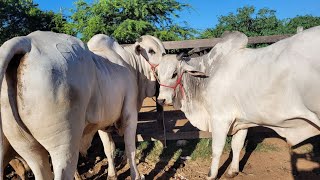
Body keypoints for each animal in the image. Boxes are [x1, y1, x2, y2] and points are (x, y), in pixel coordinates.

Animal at [0, 31, 165, 180]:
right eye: (151, 51)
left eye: (164, 51)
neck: (131, 64)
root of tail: (27, 42)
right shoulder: (130, 112)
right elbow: (130, 147)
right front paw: (136, 176)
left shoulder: (102, 124)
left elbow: (109, 149)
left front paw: (112, 174)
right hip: (63, 145)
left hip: (27, 148)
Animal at [156, 26, 320, 179]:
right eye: (157, 74)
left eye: (174, 74)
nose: (161, 100)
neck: (208, 74)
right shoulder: (242, 120)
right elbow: (237, 145)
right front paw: (233, 171)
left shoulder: (220, 118)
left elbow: (217, 149)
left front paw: (211, 175)